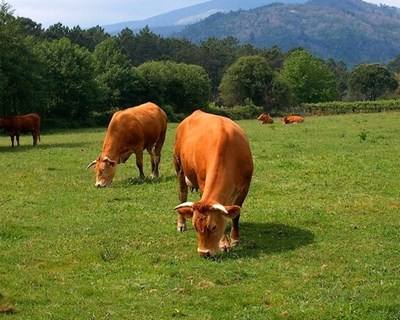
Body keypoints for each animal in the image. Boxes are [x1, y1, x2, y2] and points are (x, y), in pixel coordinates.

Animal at [173, 110, 253, 258]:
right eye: (195, 227)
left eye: (214, 227)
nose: (204, 253)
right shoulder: (202, 184)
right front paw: (224, 243)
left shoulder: (245, 188)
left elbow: (235, 215)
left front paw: (234, 239)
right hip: (179, 167)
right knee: (182, 194)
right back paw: (181, 224)